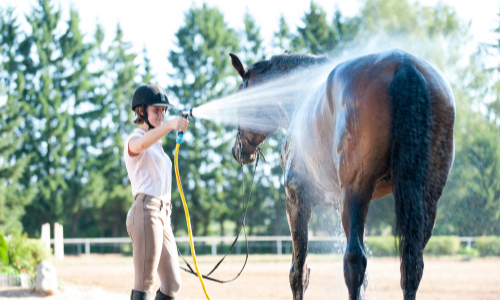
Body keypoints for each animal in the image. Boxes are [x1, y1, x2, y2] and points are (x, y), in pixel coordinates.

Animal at [229, 49, 456, 300]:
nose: (238, 150)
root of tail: (404, 64)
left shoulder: (297, 201)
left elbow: (298, 273)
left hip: (356, 191)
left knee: (354, 260)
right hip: (425, 199)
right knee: (411, 265)